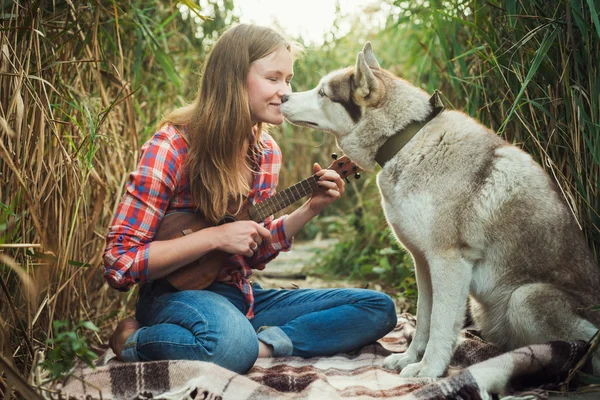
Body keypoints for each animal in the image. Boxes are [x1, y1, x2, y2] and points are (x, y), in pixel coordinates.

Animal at [282, 43, 600, 378]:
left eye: (323, 93)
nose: (283, 98)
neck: (406, 141)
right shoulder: (422, 262)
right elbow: (424, 318)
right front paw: (409, 359)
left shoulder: (448, 261)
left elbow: (440, 324)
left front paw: (429, 370)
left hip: (525, 298)